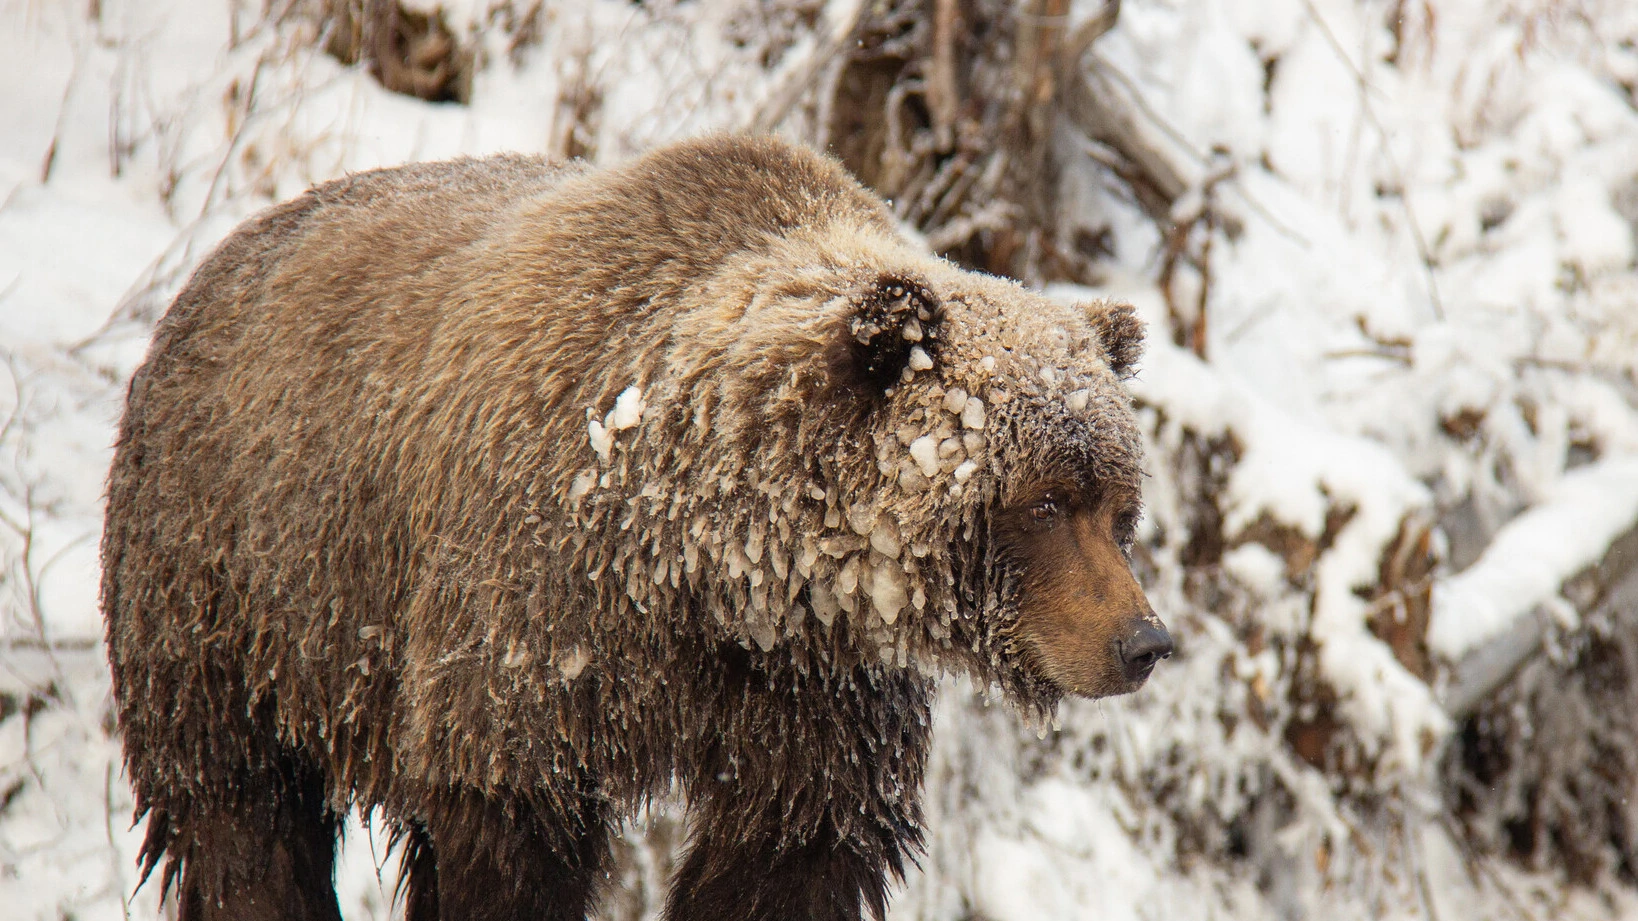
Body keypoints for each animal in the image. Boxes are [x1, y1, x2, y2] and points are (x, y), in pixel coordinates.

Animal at [102, 134, 1172, 917]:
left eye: (1119, 503)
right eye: (1042, 501)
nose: (1143, 640)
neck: (706, 564)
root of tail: (210, 268)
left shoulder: (814, 692)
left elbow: (791, 850)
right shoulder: (533, 631)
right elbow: (510, 832)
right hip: (235, 593)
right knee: (238, 816)